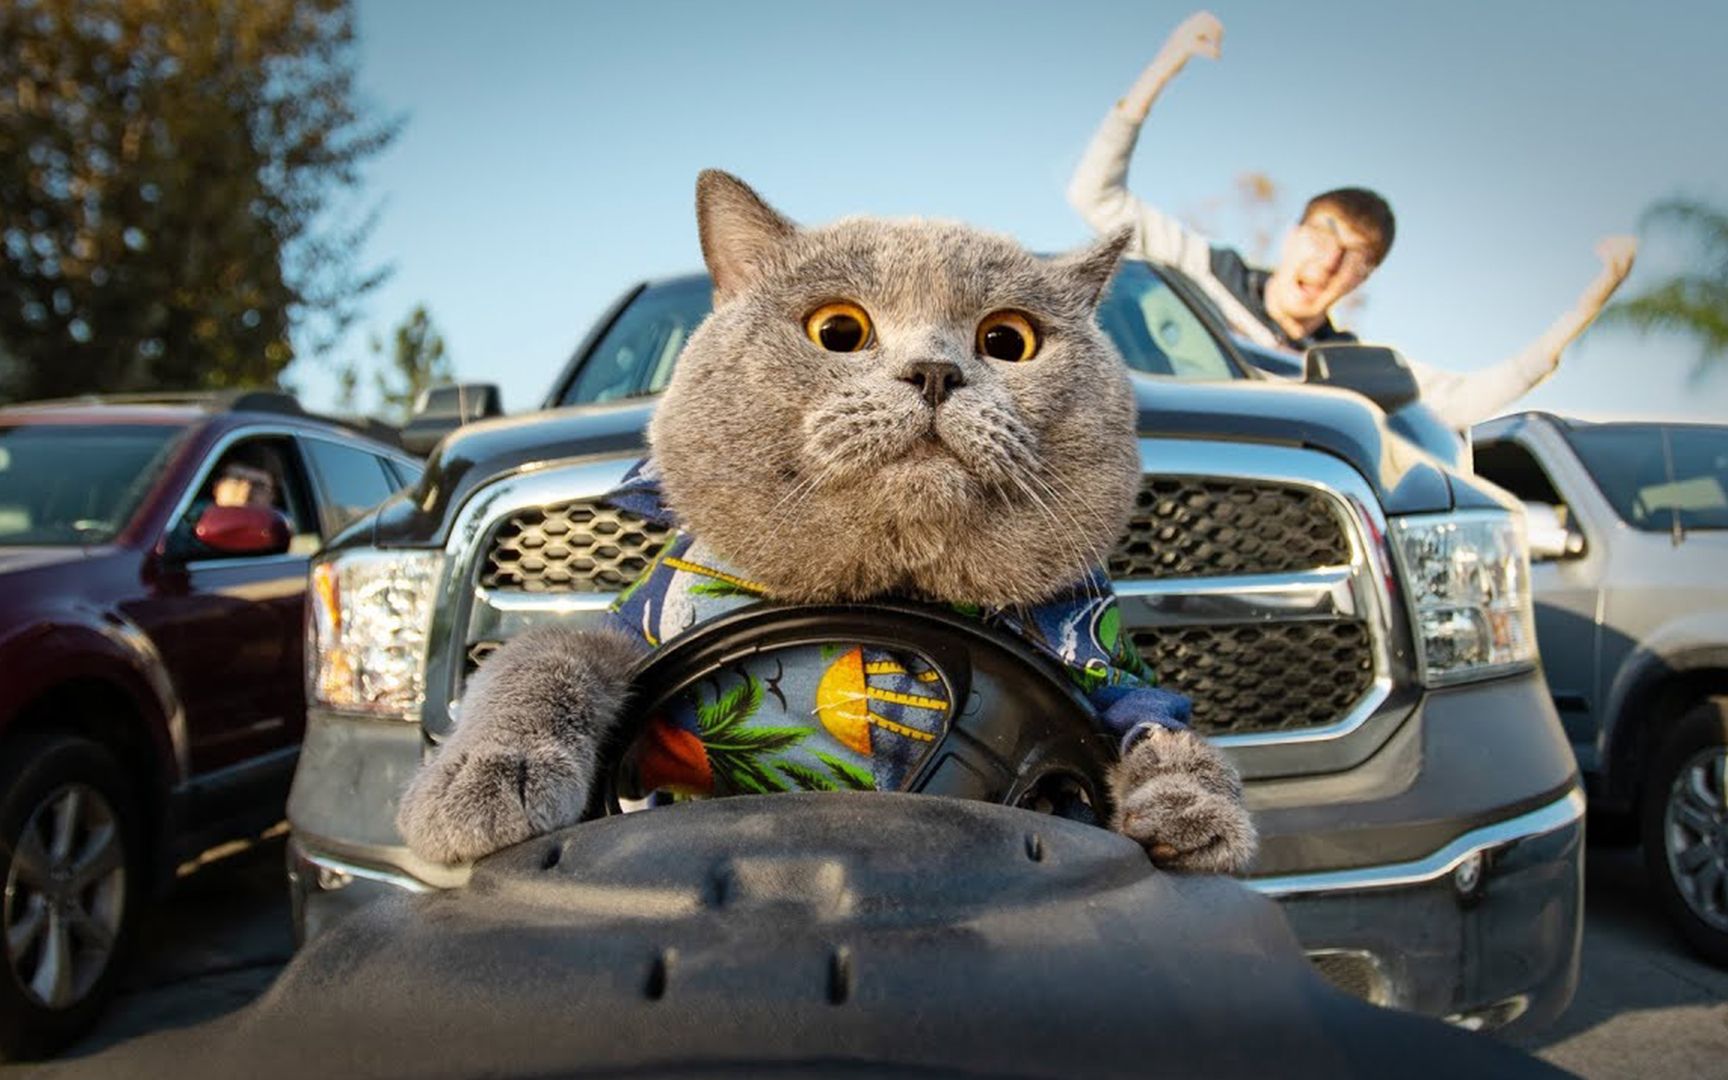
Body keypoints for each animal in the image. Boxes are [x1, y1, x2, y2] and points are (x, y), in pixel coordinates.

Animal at [395, 170, 1257, 877]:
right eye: (838, 331)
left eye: (1009, 340)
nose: (935, 371)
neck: (892, 589)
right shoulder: (634, 630)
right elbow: (542, 660)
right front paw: (481, 781)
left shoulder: (1100, 667)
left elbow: (1156, 722)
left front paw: (1197, 807)